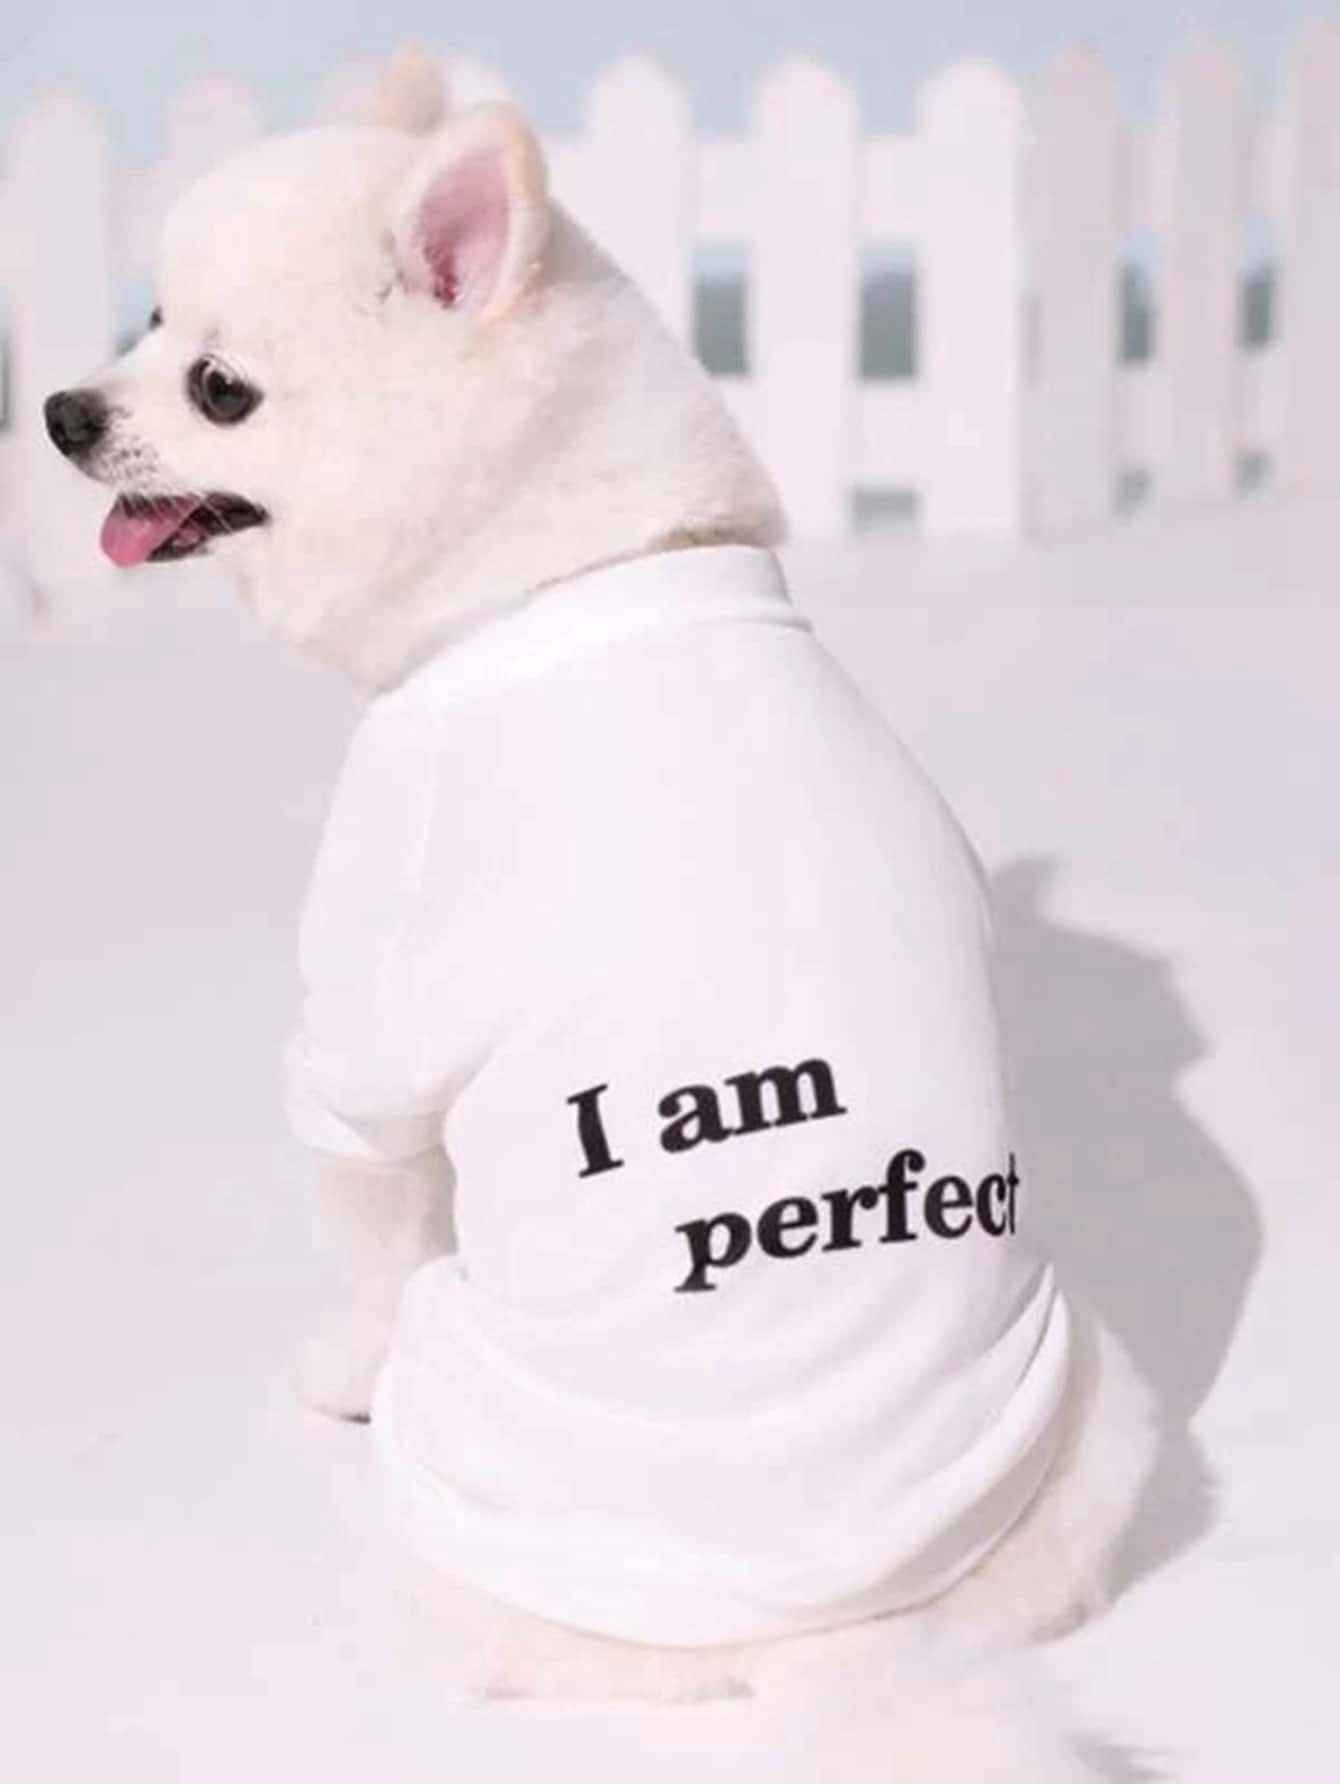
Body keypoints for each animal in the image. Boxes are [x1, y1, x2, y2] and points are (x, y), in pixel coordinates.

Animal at [46, 45, 1157, 1780]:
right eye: (143, 321)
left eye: (219, 388)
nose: (64, 410)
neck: (569, 569)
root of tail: (824, 1629)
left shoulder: (361, 1037)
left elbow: (369, 1230)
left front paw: (333, 1363)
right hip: (1101, 1411)